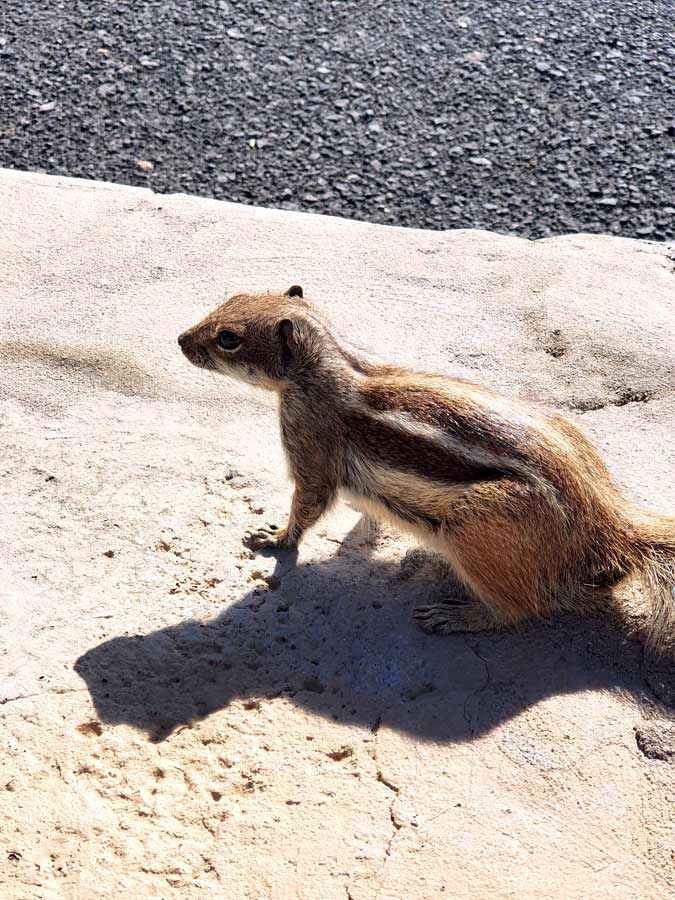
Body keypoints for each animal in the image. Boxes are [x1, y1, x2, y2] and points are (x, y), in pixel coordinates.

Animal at [180, 284, 675, 644]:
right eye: (229, 298)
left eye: (229, 339)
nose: (180, 339)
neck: (329, 366)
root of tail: (606, 525)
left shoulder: (311, 450)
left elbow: (307, 506)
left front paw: (274, 538)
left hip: (475, 522)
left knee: (524, 607)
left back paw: (455, 616)